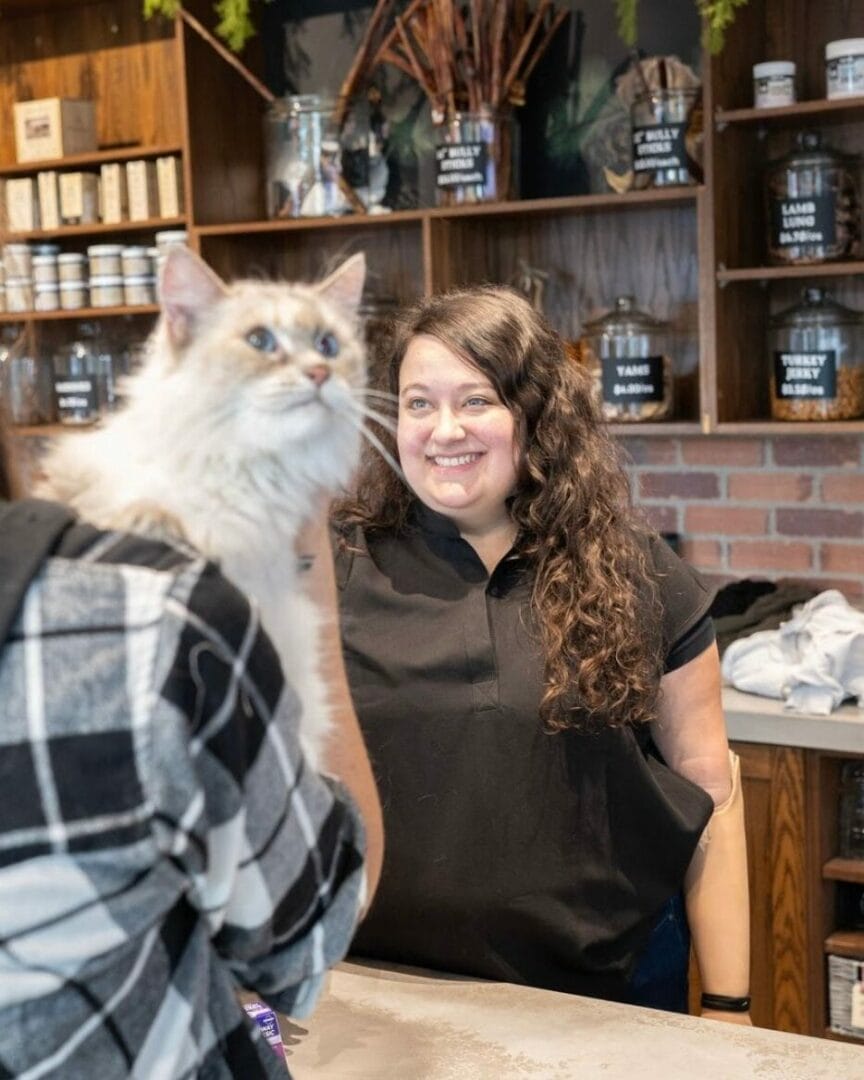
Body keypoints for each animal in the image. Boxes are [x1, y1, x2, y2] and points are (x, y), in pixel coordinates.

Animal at [40, 247, 373, 768]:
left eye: (328, 345)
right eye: (260, 340)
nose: (321, 373)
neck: (246, 469)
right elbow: (144, 512)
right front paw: (156, 522)